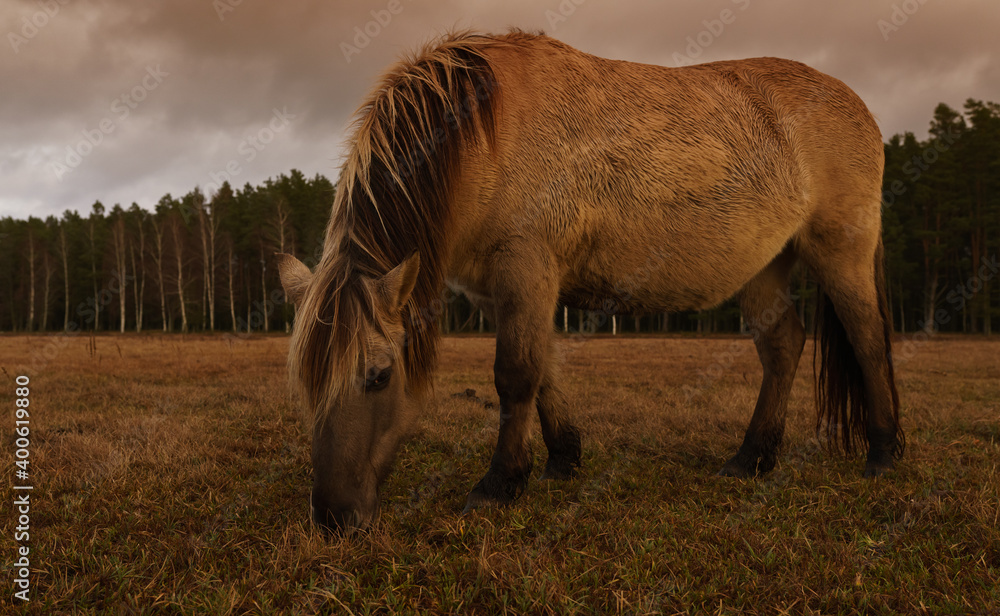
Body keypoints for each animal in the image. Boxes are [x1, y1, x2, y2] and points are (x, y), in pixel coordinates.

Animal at [277, 29, 904, 533]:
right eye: (303, 382)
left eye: (380, 376)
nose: (333, 518)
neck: (482, 137)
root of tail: (860, 108)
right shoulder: (508, 287)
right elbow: (543, 372)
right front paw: (562, 461)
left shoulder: (526, 266)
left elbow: (515, 375)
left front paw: (499, 485)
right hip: (761, 266)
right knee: (783, 345)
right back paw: (751, 458)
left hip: (839, 252)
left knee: (868, 339)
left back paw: (883, 452)